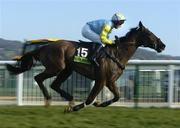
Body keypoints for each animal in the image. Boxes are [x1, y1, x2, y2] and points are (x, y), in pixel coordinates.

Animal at [6, 21, 165, 112]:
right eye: (150, 34)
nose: (162, 45)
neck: (117, 53)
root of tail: (44, 47)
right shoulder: (101, 80)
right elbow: (89, 99)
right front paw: (75, 108)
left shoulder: (110, 81)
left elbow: (117, 97)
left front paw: (100, 104)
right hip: (56, 68)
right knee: (38, 78)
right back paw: (50, 100)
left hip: (66, 70)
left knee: (54, 85)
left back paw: (69, 99)